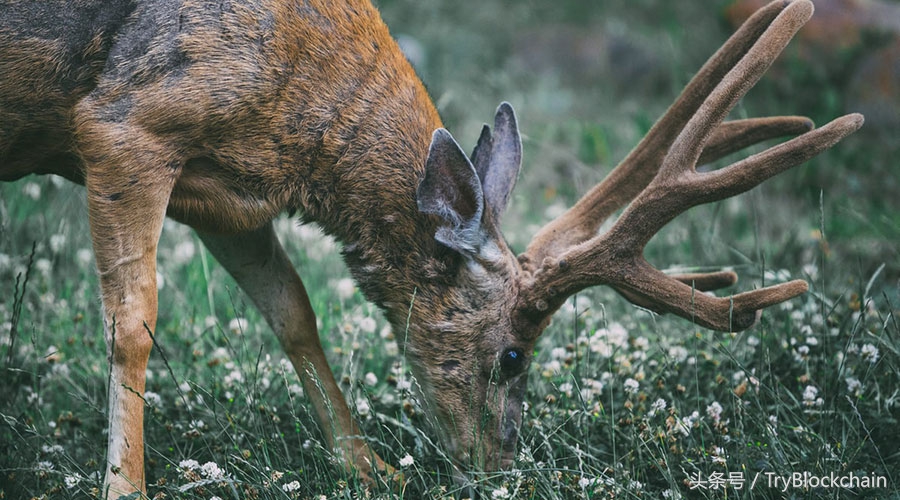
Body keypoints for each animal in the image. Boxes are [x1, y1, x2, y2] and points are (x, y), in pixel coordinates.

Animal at [0, 0, 864, 496]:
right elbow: (133, 325)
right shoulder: (124, 124)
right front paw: (125, 487)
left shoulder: (226, 195)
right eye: (513, 355)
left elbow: (293, 311)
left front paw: (367, 467)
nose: (499, 465)